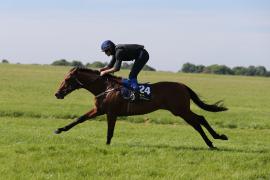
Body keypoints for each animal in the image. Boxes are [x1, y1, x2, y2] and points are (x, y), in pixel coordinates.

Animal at [54, 67, 228, 149]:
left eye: (67, 79)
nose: (57, 94)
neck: (106, 87)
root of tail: (183, 86)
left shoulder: (111, 112)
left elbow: (110, 130)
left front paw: (107, 144)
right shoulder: (99, 110)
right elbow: (79, 119)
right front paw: (59, 129)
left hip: (180, 110)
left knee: (198, 121)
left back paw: (215, 140)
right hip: (181, 110)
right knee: (199, 121)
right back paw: (214, 140)